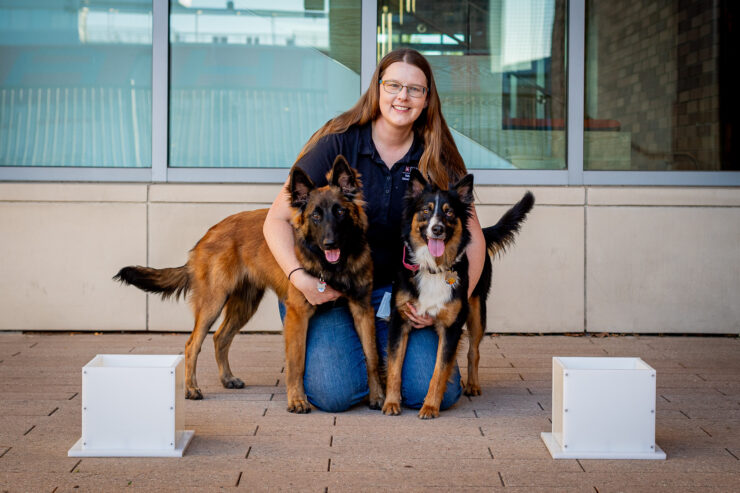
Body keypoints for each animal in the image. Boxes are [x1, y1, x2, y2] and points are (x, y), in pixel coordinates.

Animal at [116, 157, 384, 412]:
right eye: (315, 216)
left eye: (340, 212)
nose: (330, 243)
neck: (334, 266)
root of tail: (208, 234)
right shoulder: (297, 315)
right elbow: (296, 363)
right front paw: (297, 400)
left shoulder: (363, 310)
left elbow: (371, 356)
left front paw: (378, 396)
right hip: (213, 303)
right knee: (193, 343)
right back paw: (191, 388)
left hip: (245, 305)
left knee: (220, 337)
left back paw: (227, 378)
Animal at [382, 170, 532, 418]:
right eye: (426, 210)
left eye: (449, 212)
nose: (437, 229)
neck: (433, 269)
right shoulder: (399, 320)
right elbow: (395, 366)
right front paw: (391, 403)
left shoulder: (451, 328)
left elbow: (439, 371)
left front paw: (430, 406)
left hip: (477, 311)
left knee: (474, 351)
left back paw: (472, 385)